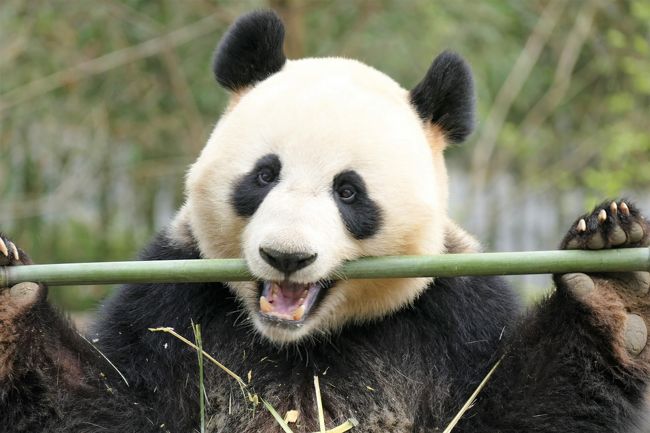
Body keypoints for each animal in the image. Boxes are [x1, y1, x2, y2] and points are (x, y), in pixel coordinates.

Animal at [1, 9, 648, 432]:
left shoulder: (451, 317)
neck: (303, 344)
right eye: (264, 175)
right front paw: (12, 298)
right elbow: (108, 408)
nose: (287, 257)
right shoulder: (173, 306)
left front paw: (613, 284)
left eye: (349, 192)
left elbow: (520, 407)